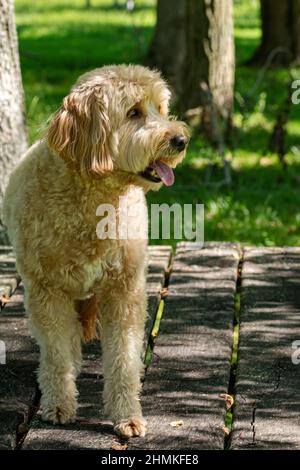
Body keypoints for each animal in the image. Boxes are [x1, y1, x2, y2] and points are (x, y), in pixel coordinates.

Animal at [2, 64, 189, 438]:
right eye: (133, 113)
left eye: (161, 109)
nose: (180, 140)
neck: (95, 199)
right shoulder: (47, 292)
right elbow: (57, 353)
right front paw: (59, 404)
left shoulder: (124, 292)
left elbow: (123, 360)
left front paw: (127, 414)